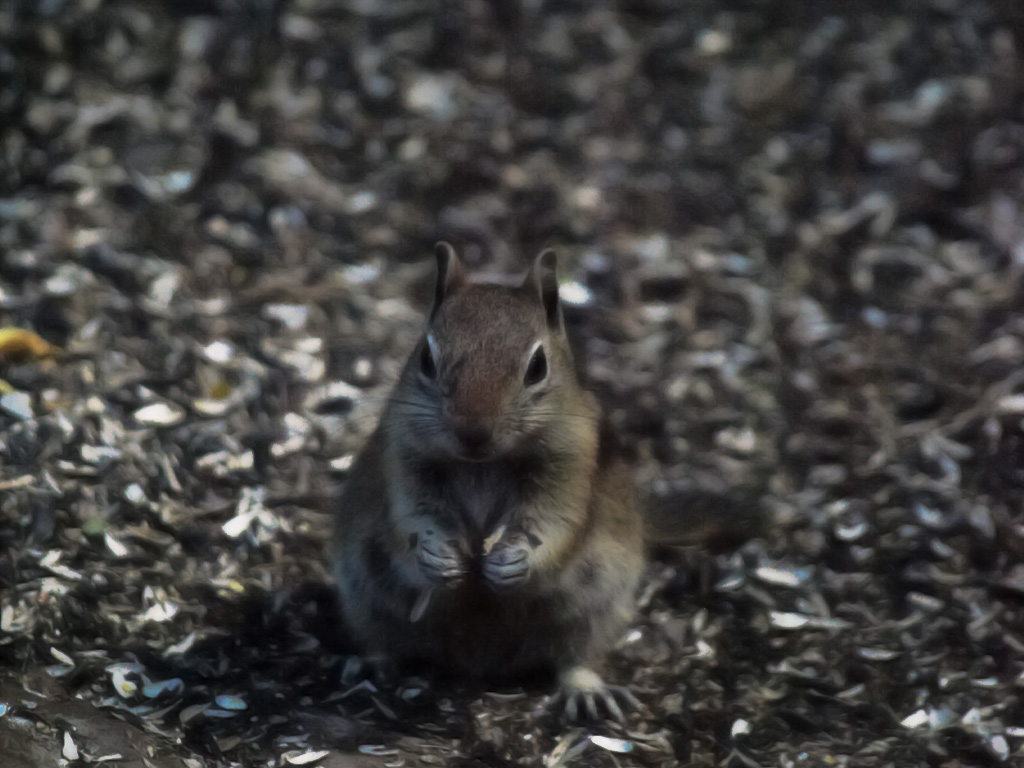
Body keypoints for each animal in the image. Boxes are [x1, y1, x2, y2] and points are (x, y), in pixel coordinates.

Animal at [330, 243, 761, 721]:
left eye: (537, 366)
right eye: (426, 358)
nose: (473, 432)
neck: (482, 462)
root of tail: (476, 663)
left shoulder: (570, 471)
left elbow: (554, 526)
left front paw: (512, 562)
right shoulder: (404, 461)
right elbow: (411, 518)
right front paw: (436, 555)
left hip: (598, 601)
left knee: (574, 656)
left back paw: (587, 689)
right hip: (365, 592)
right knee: (385, 640)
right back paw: (371, 663)